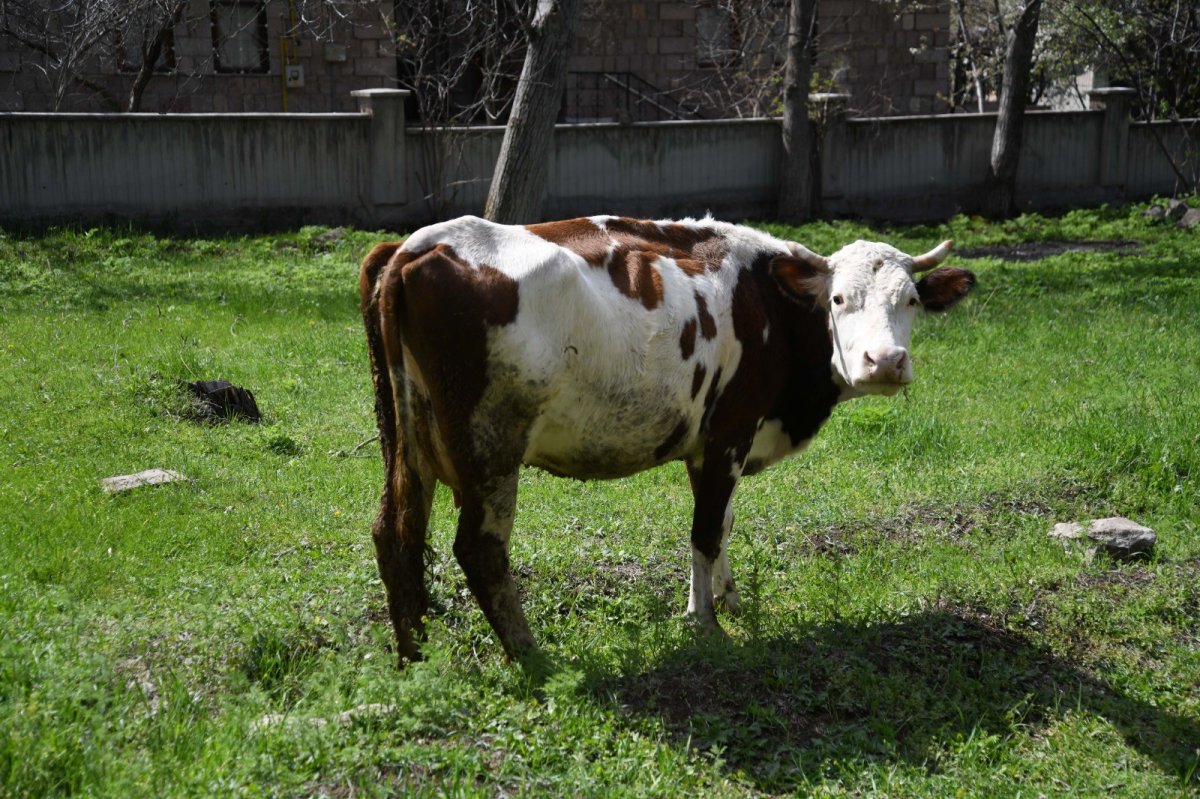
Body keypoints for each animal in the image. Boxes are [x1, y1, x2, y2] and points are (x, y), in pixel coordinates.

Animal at [357, 209, 974, 657]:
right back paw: (530, 656)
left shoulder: (710, 444)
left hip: (409, 440)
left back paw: (414, 651)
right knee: (479, 549)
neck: (769, 302)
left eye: (912, 301)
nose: (885, 362)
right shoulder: (729, 431)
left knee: (396, 532)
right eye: (840, 299)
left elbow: (722, 523)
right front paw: (704, 623)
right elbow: (704, 530)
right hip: (490, 445)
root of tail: (416, 245)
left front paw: (728, 599)